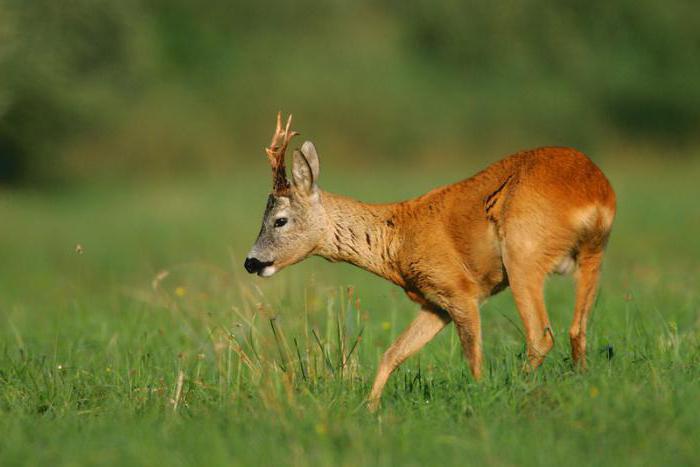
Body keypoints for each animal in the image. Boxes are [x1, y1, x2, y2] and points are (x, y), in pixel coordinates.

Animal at [243, 113, 616, 410]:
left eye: (279, 220)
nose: (251, 262)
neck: (396, 240)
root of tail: (596, 195)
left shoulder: (459, 289)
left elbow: (473, 356)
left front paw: (479, 397)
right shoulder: (434, 302)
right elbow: (392, 353)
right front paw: (369, 407)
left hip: (523, 252)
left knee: (541, 336)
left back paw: (520, 389)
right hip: (593, 252)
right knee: (577, 329)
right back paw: (582, 383)